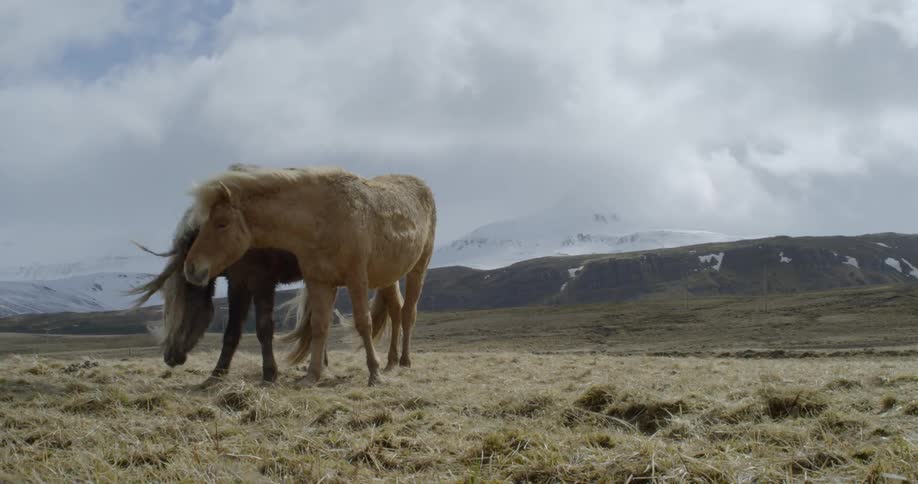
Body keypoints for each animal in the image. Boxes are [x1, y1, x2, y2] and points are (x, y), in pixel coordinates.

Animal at [129, 206, 405, 385]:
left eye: (184, 303)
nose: (169, 356)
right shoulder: (238, 284)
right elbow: (232, 332)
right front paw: (217, 373)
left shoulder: (261, 282)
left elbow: (263, 328)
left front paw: (270, 373)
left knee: (396, 309)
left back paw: (395, 362)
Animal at [182, 165, 436, 387]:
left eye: (222, 224)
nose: (191, 268)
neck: (323, 216)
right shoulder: (319, 281)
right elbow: (319, 325)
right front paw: (313, 375)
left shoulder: (356, 279)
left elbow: (363, 322)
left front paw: (374, 373)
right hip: (388, 277)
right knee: (396, 311)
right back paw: (392, 361)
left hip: (418, 269)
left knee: (408, 313)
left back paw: (404, 361)